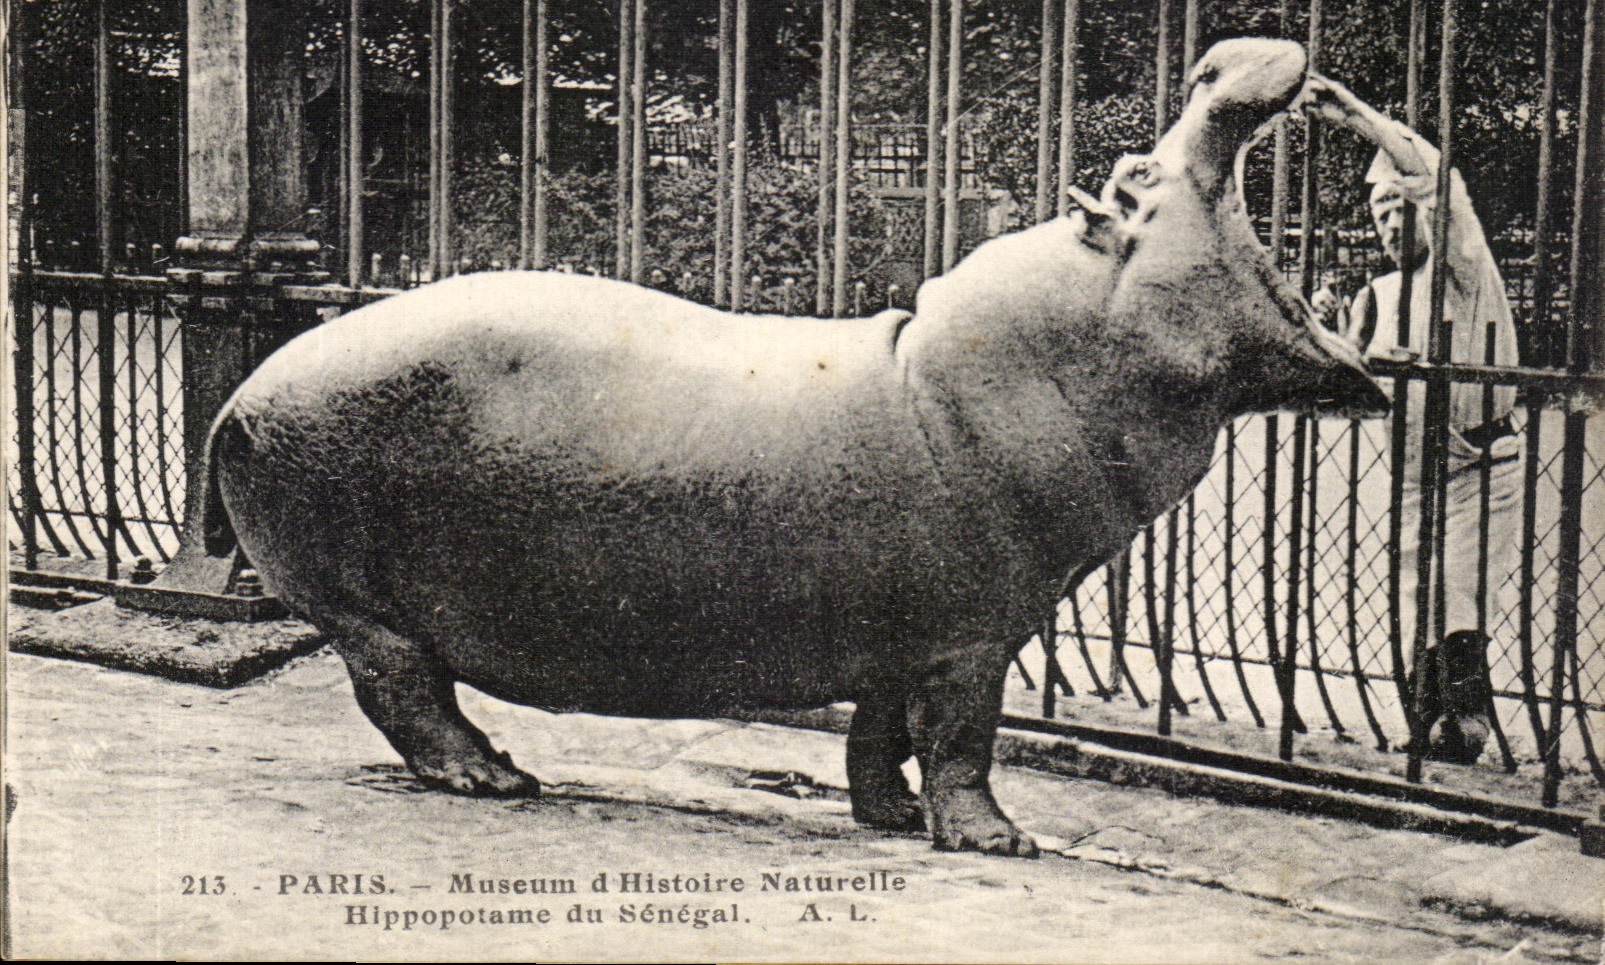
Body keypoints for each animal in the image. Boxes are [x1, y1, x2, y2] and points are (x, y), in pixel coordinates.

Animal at [207, 38, 1387, 857]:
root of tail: (243, 395)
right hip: (365, 607)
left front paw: (890, 815)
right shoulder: (975, 632)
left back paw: (504, 770)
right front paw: (997, 839)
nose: (1218, 56)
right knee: (403, 692)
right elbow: (962, 736)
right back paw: (498, 778)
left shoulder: (902, 625)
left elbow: (879, 732)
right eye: (1142, 173)